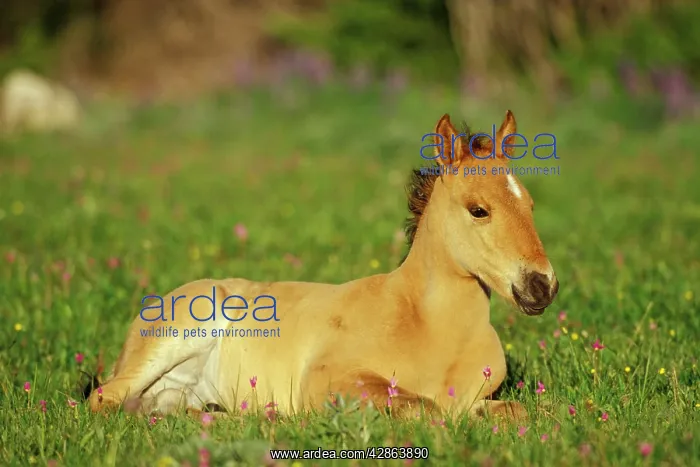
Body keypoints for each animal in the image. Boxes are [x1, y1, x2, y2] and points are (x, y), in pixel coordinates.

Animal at [87, 110, 559, 421]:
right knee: (105, 399)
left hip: (176, 389)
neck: (427, 327)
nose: (542, 286)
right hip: (178, 335)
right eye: (479, 210)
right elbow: (424, 409)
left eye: (531, 206)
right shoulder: (329, 380)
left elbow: (520, 411)